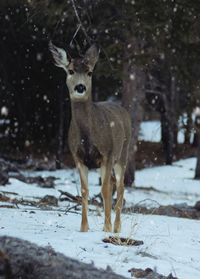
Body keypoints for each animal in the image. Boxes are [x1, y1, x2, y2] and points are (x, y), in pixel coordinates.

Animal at [49, 42, 132, 234]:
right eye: (70, 70)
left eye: (89, 72)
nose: (80, 87)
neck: (87, 136)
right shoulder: (78, 157)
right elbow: (85, 190)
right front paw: (84, 228)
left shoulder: (107, 154)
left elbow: (105, 190)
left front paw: (107, 228)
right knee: (113, 184)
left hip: (122, 155)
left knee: (120, 186)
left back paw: (116, 227)